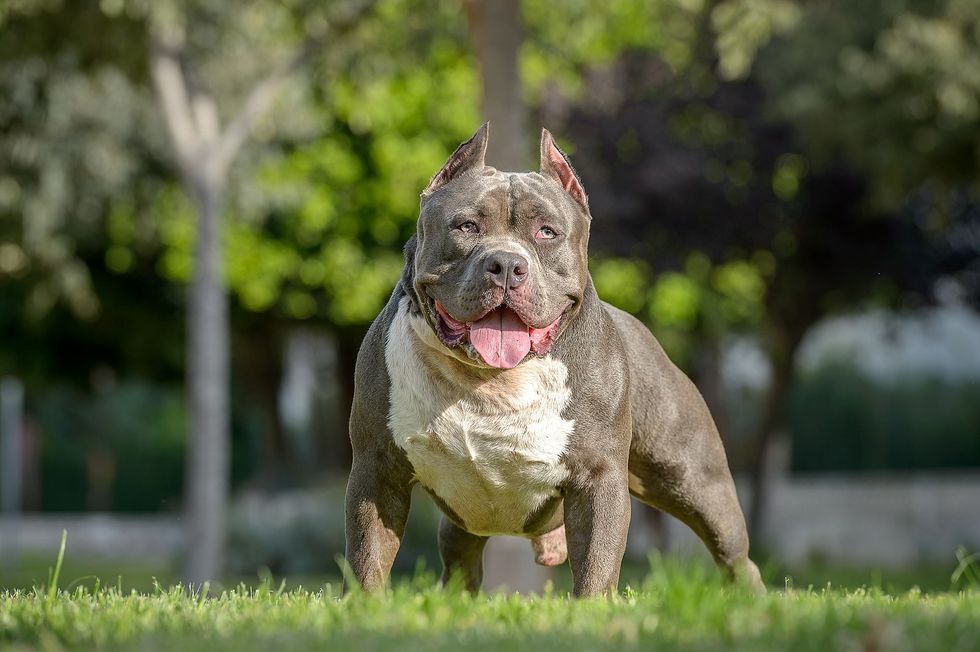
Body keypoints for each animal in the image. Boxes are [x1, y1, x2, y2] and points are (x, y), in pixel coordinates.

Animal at [344, 123, 764, 596]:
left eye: (547, 232)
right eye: (466, 226)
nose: (506, 264)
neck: (489, 380)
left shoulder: (598, 480)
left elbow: (596, 565)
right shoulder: (376, 471)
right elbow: (367, 557)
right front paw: (364, 606)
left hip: (695, 482)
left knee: (734, 554)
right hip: (462, 521)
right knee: (460, 565)